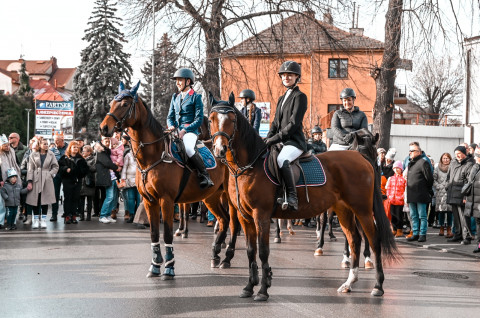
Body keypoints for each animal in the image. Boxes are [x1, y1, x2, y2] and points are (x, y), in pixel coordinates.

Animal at [100, 82, 240, 278]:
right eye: (113, 102)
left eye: (125, 104)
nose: (104, 128)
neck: (153, 155)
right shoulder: (149, 201)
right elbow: (154, 233)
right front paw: (155, 265)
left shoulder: (166, 200)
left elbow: (166, 233)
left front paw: (169, 266)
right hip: (211, 196)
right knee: (224, 219)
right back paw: (216, 255)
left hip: (231, 197)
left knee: (233, 223)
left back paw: (227, 257)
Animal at [208, 92, 400, 300]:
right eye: (211, 119)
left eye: (232, 119)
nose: (219, 150)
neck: (250, 166)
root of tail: (360, 158)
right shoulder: (245, 216)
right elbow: (251, 251)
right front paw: (249, 287)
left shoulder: (261, 215)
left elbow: (263, 251)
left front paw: (263, 290)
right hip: (344, 210)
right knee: (354, 240)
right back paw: (349, 283)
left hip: (362, 210)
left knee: (373, 240)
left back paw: (378, 286)